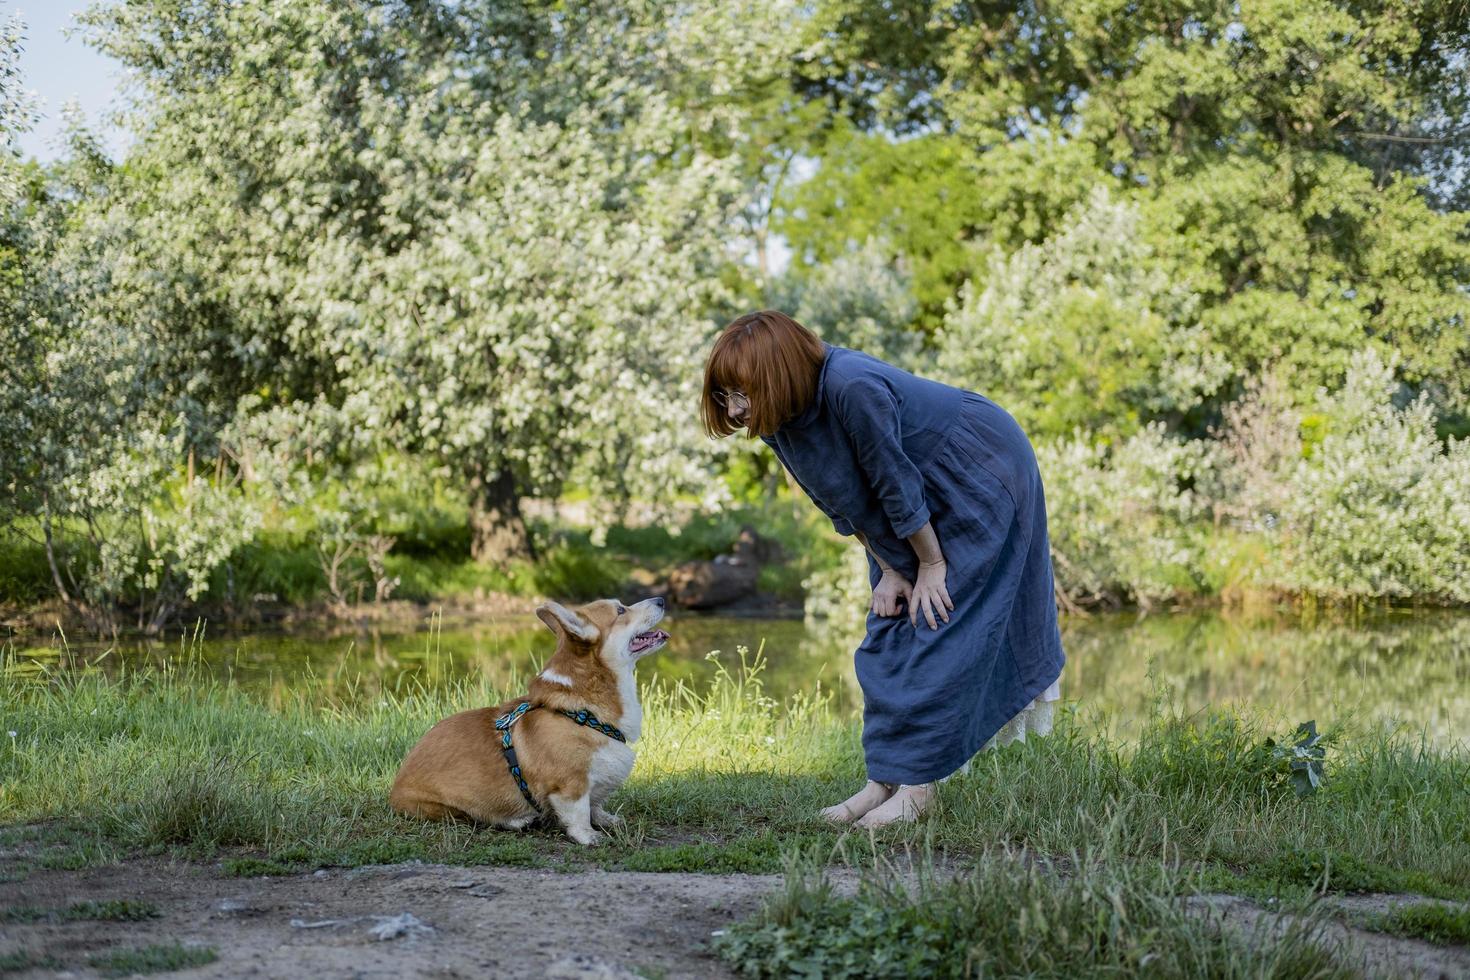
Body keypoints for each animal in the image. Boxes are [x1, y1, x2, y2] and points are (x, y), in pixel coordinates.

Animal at [388, 593, 670, 846]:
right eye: (620, 610)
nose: (661, 600)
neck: (584, 714)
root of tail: (394, 790)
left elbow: (595, 805)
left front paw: (607, 819)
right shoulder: (570, 785)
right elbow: (579, 812)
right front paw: (588, 836)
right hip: (449, 809)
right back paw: (518, 820)